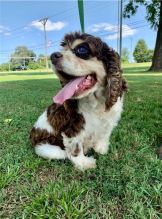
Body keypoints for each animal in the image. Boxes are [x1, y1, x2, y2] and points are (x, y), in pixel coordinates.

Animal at [29, 31, 127, 170]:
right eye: (64, 49)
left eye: (82, 50)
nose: (53, 56)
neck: (96, 101)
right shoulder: (73, 127)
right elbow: (75, 146)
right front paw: (84, 162)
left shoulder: (109, 120)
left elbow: (104, 135)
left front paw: (101, 148)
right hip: (47, 148)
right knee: (61, 153)